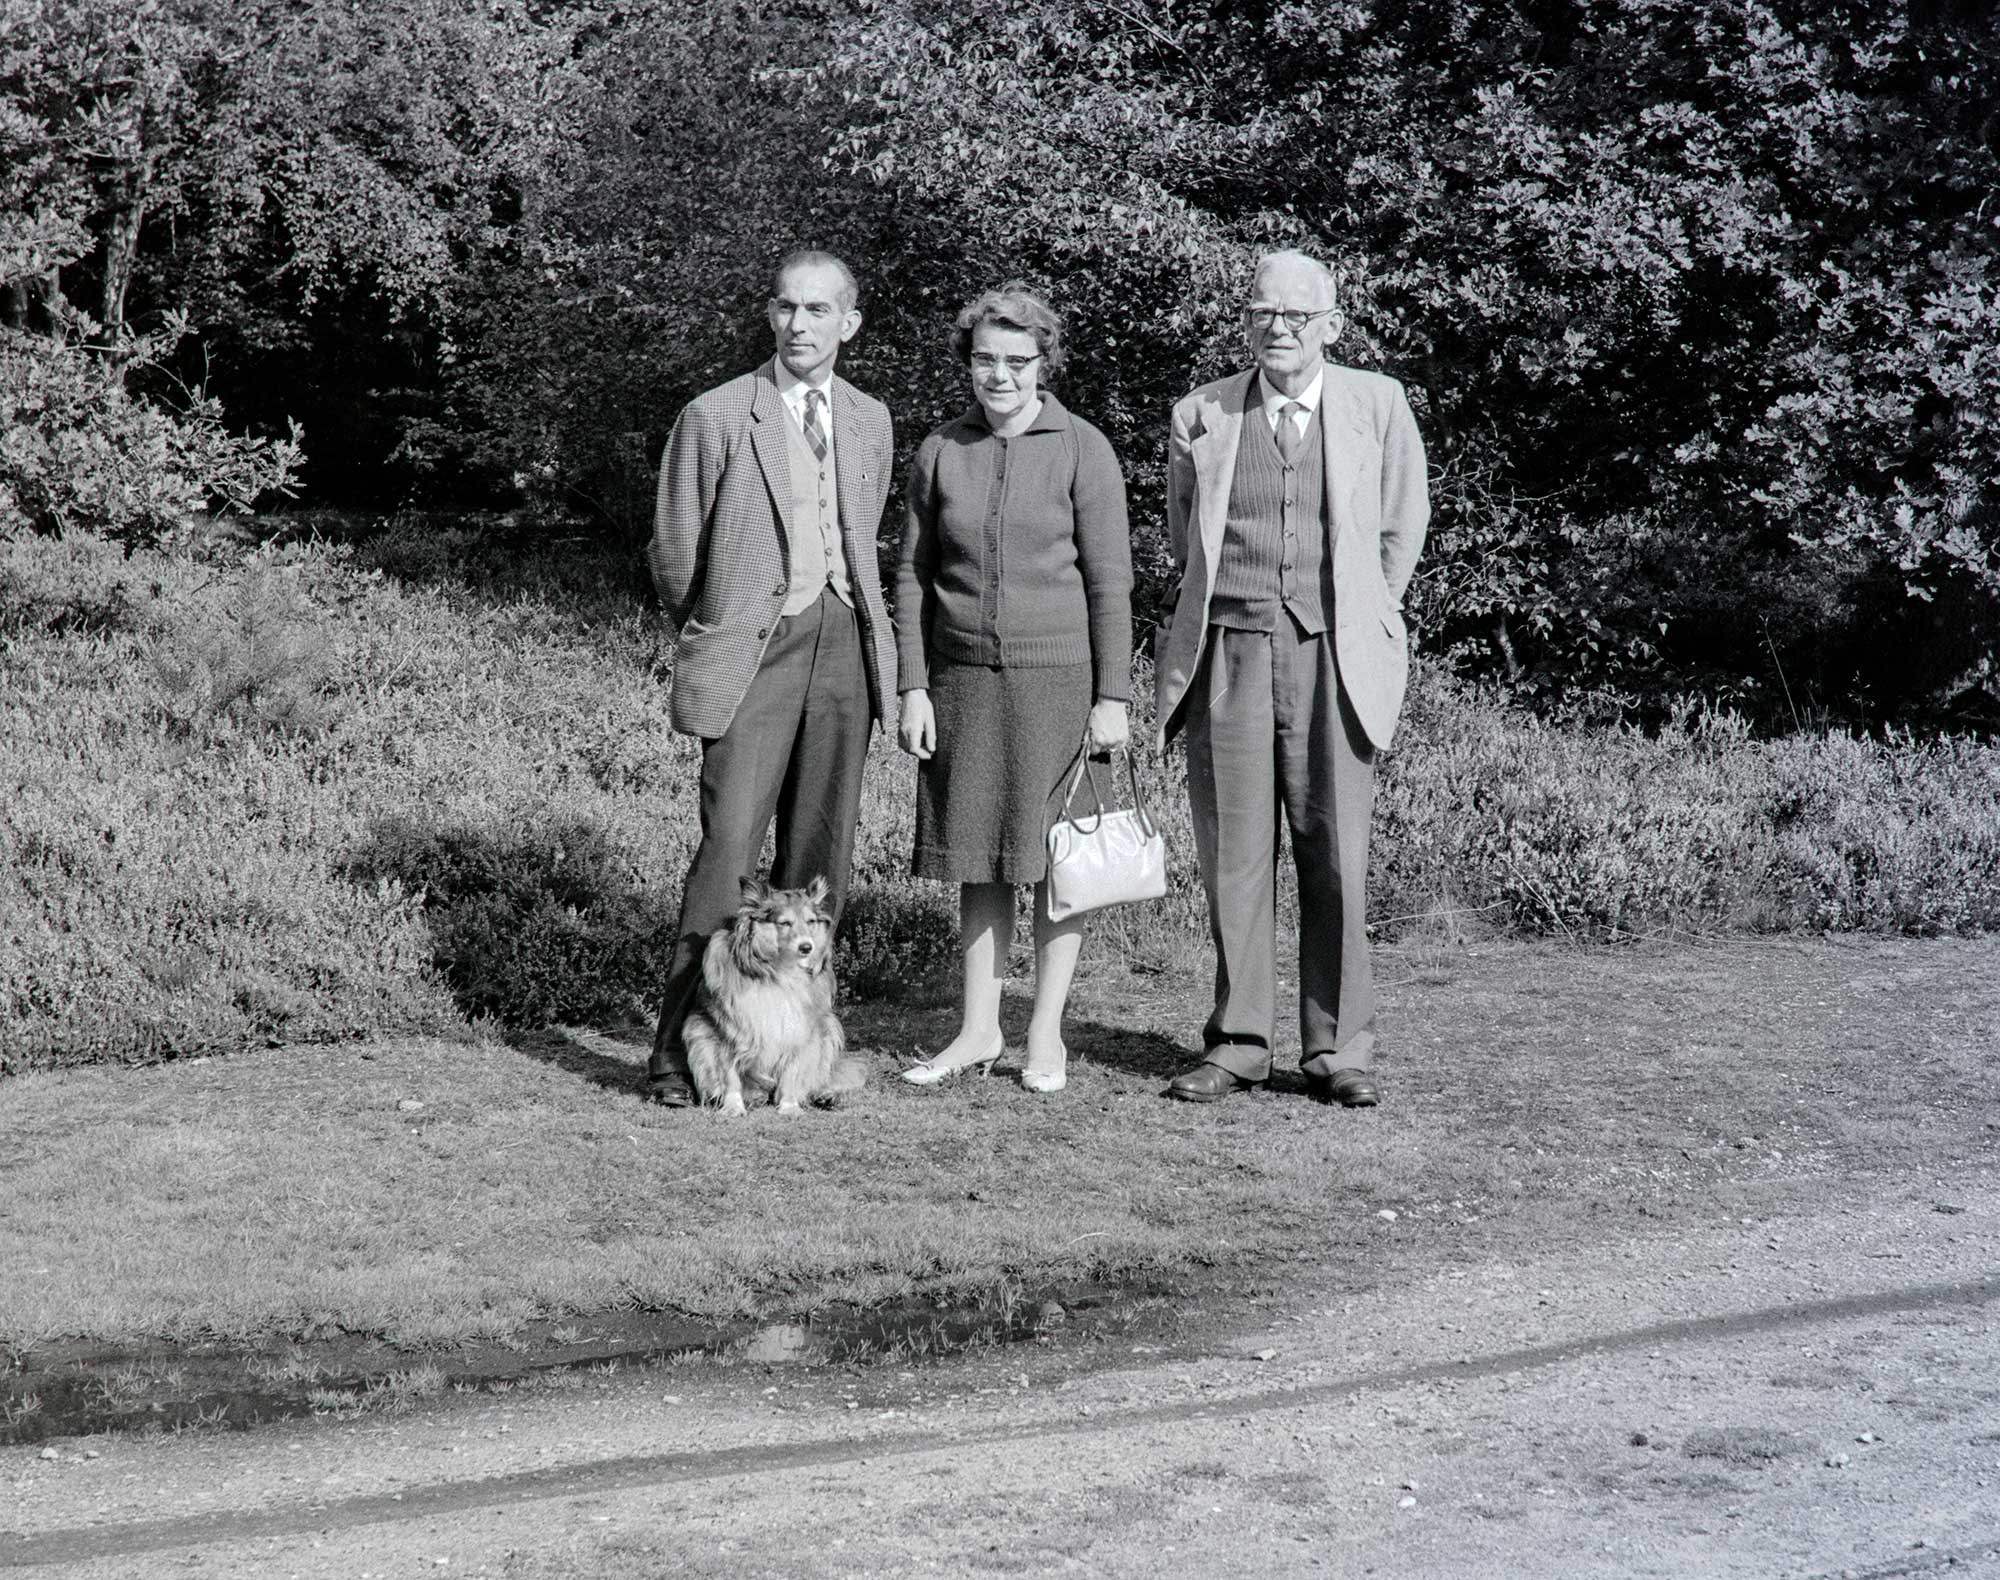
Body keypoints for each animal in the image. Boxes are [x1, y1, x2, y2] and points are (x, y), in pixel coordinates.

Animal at [680, 880, 868, 1112]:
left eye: (810, 921)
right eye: (785, 923)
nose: (807, 947)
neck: (779, 971)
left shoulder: (799, 1029)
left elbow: (792, 1071)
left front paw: (789, 1107)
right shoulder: (723, 1031)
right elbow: (729, 1074)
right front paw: (733, 1107)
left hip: (828, 1029)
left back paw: (827, 1096)